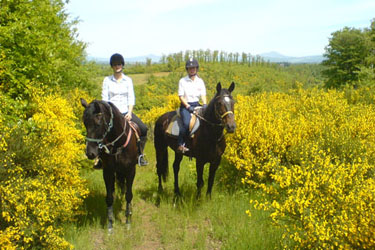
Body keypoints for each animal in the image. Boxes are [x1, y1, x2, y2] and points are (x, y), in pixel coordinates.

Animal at [80, 98, 138, 231]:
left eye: (98, 124)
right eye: (85, 123)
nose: (90, 153)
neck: (118, 145)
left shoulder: (130, 171)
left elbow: (129, 195)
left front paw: (128, 221)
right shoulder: (108, 172)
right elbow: (109, 197)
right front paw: (110, 224)